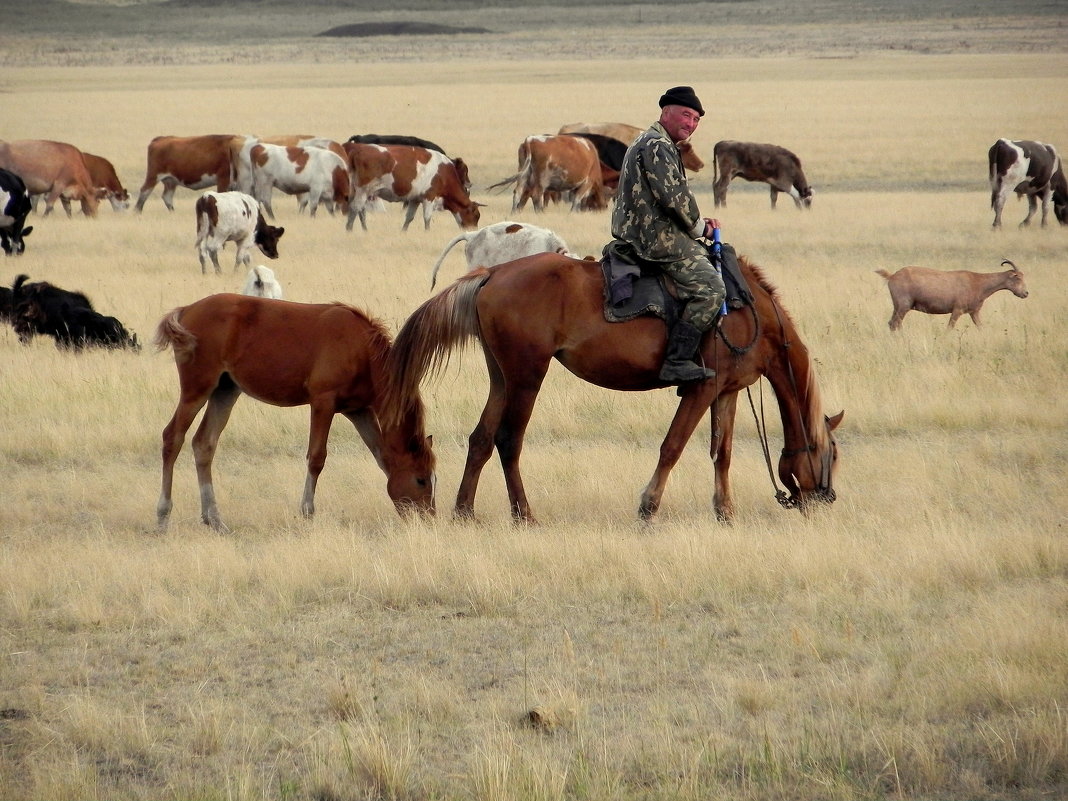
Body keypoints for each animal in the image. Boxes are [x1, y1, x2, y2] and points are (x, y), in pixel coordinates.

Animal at [153, 294, 433, 534]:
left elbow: (381, 455)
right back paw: (163, 517)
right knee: (172, 437)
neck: (361, 348)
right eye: (421, 480)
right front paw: (308, 512)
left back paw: (214, 519)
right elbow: (317, 457)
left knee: (204, 444)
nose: (428, 518)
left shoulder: (358, 411)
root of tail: (187, 309)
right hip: (197, 390)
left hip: (225, 391)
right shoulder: (323, 403)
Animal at [343, 143, 478, 231]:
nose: (474, 231)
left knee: (361, 211)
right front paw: (427, 232)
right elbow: (427, 218)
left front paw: (403, 231)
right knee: (355, 209)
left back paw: (364, 230)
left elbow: (409, 218)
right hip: (362, 191)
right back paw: (349, 229)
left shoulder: (415, 199)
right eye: (476, 216)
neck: (444, 173)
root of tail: (357, 150)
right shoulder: (429, 197)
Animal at [384, 254, 841, 523]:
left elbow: (722, 453)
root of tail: (492, 273)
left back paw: (464, 512)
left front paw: (725, 512)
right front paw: (648, 507)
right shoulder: (701, 390)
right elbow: (672, 447)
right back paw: (524, 514)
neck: (751, 313)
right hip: (527, 376)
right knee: (508, 440)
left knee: (480, 438)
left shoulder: (726, 391)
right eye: (832, 455)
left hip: (502, 377)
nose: (826, 498)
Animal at [875, 258, 1025, 331]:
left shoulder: (974, 312)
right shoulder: (957, 310)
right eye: (1017, 277)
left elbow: (981, 327)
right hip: (903, 307)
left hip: (898, 307)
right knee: (895, 323)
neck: (977, 282)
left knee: (892, 323)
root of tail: (892, 276)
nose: (1025, 293)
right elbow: (950, 328)